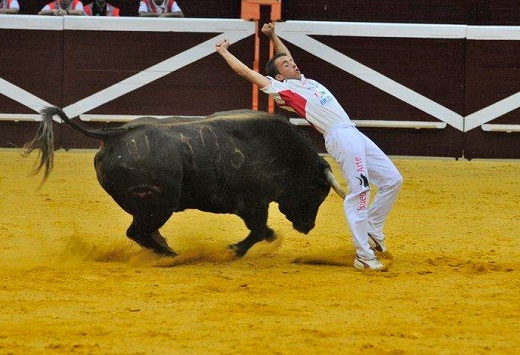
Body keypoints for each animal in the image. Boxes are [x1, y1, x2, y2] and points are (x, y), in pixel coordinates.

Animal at [26, 106, 348, 258]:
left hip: (153, 207)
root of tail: (112, 134)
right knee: (138, 232)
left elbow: (259, 230)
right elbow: (258, 230)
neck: (281, 152)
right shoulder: (253, 203)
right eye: (318, 193)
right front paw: (235, 249)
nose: (308, 227)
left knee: (144, 233)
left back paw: (165, 249)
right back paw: (171, 254)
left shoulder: (254, 205)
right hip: (159, 204)